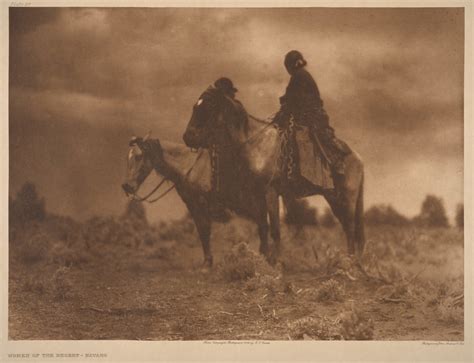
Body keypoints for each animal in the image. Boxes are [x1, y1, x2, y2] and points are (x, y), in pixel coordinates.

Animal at [182, 85, 366, 258]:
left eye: (210, 106)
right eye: (195, 106)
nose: (188, 137)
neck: (257, 145)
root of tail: (358, 158)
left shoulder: (271, 192)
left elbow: (275, 230)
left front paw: (276, 261)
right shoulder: (257, 195)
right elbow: (262, 227)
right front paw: (263, 258)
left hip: (348, 198)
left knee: (350, 227)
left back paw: (350, 261)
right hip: (334, 198)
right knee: (347, 227)